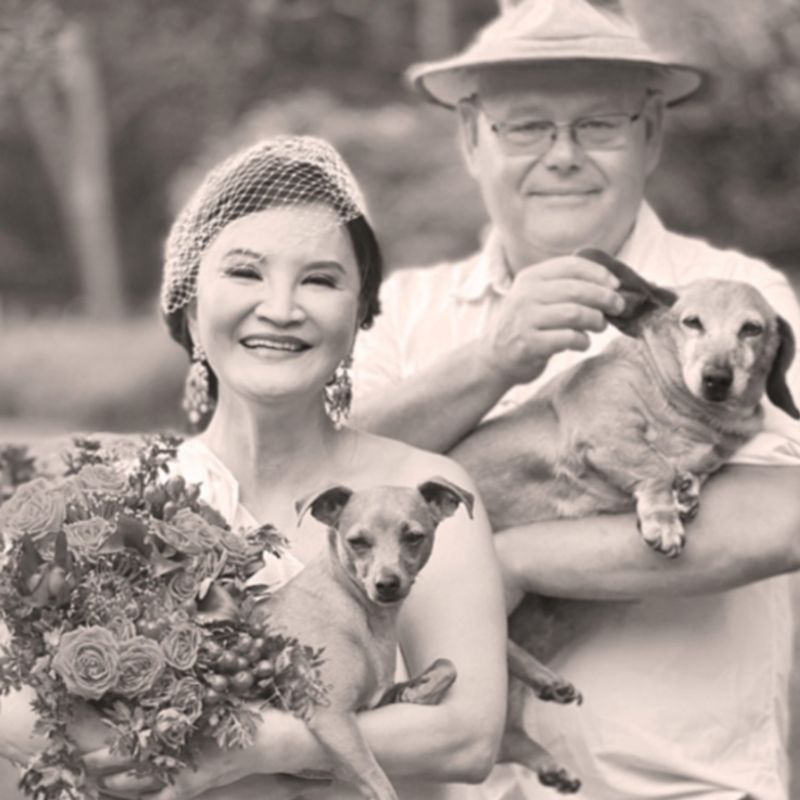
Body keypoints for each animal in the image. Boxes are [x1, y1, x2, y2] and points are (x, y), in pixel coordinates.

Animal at [250, 478, 474, 800]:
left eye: (413, 537)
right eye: (357, 542)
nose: (387, 584)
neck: (362, 617)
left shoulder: (375, 702)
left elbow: (447, 665)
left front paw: (419, 690)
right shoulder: (333, 716)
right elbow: (380, 783)